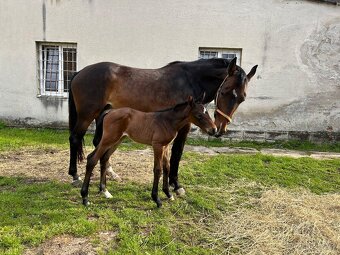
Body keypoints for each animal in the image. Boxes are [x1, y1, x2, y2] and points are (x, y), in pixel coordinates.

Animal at [81, 97, 216, 207]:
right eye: (199, 115)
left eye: (208, 113)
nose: (214, 130)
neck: (167, 121)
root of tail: (110, 111)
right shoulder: (157, 146)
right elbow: (158, 169)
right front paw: (157, 199)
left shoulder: (166, 146)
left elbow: (167, 167)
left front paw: (168, 194)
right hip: (108, 139)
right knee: (92, 158)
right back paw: (85, 198)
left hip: (117, 140)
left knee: (104, 158)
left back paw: (105, 192)